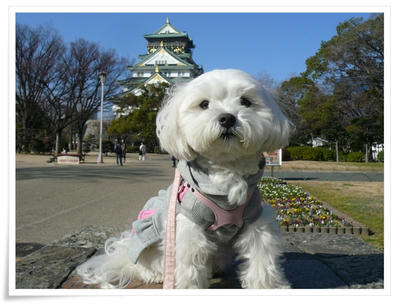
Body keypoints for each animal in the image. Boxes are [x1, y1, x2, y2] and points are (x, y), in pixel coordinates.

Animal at [77, 68, 290, 288]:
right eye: (204, 104)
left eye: (246, 101)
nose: (227, 118)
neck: (226, 171)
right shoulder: (189, 227)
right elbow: (190, 266)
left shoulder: (256, 220)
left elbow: (262, 260)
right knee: (146, 267)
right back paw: (156, 274)